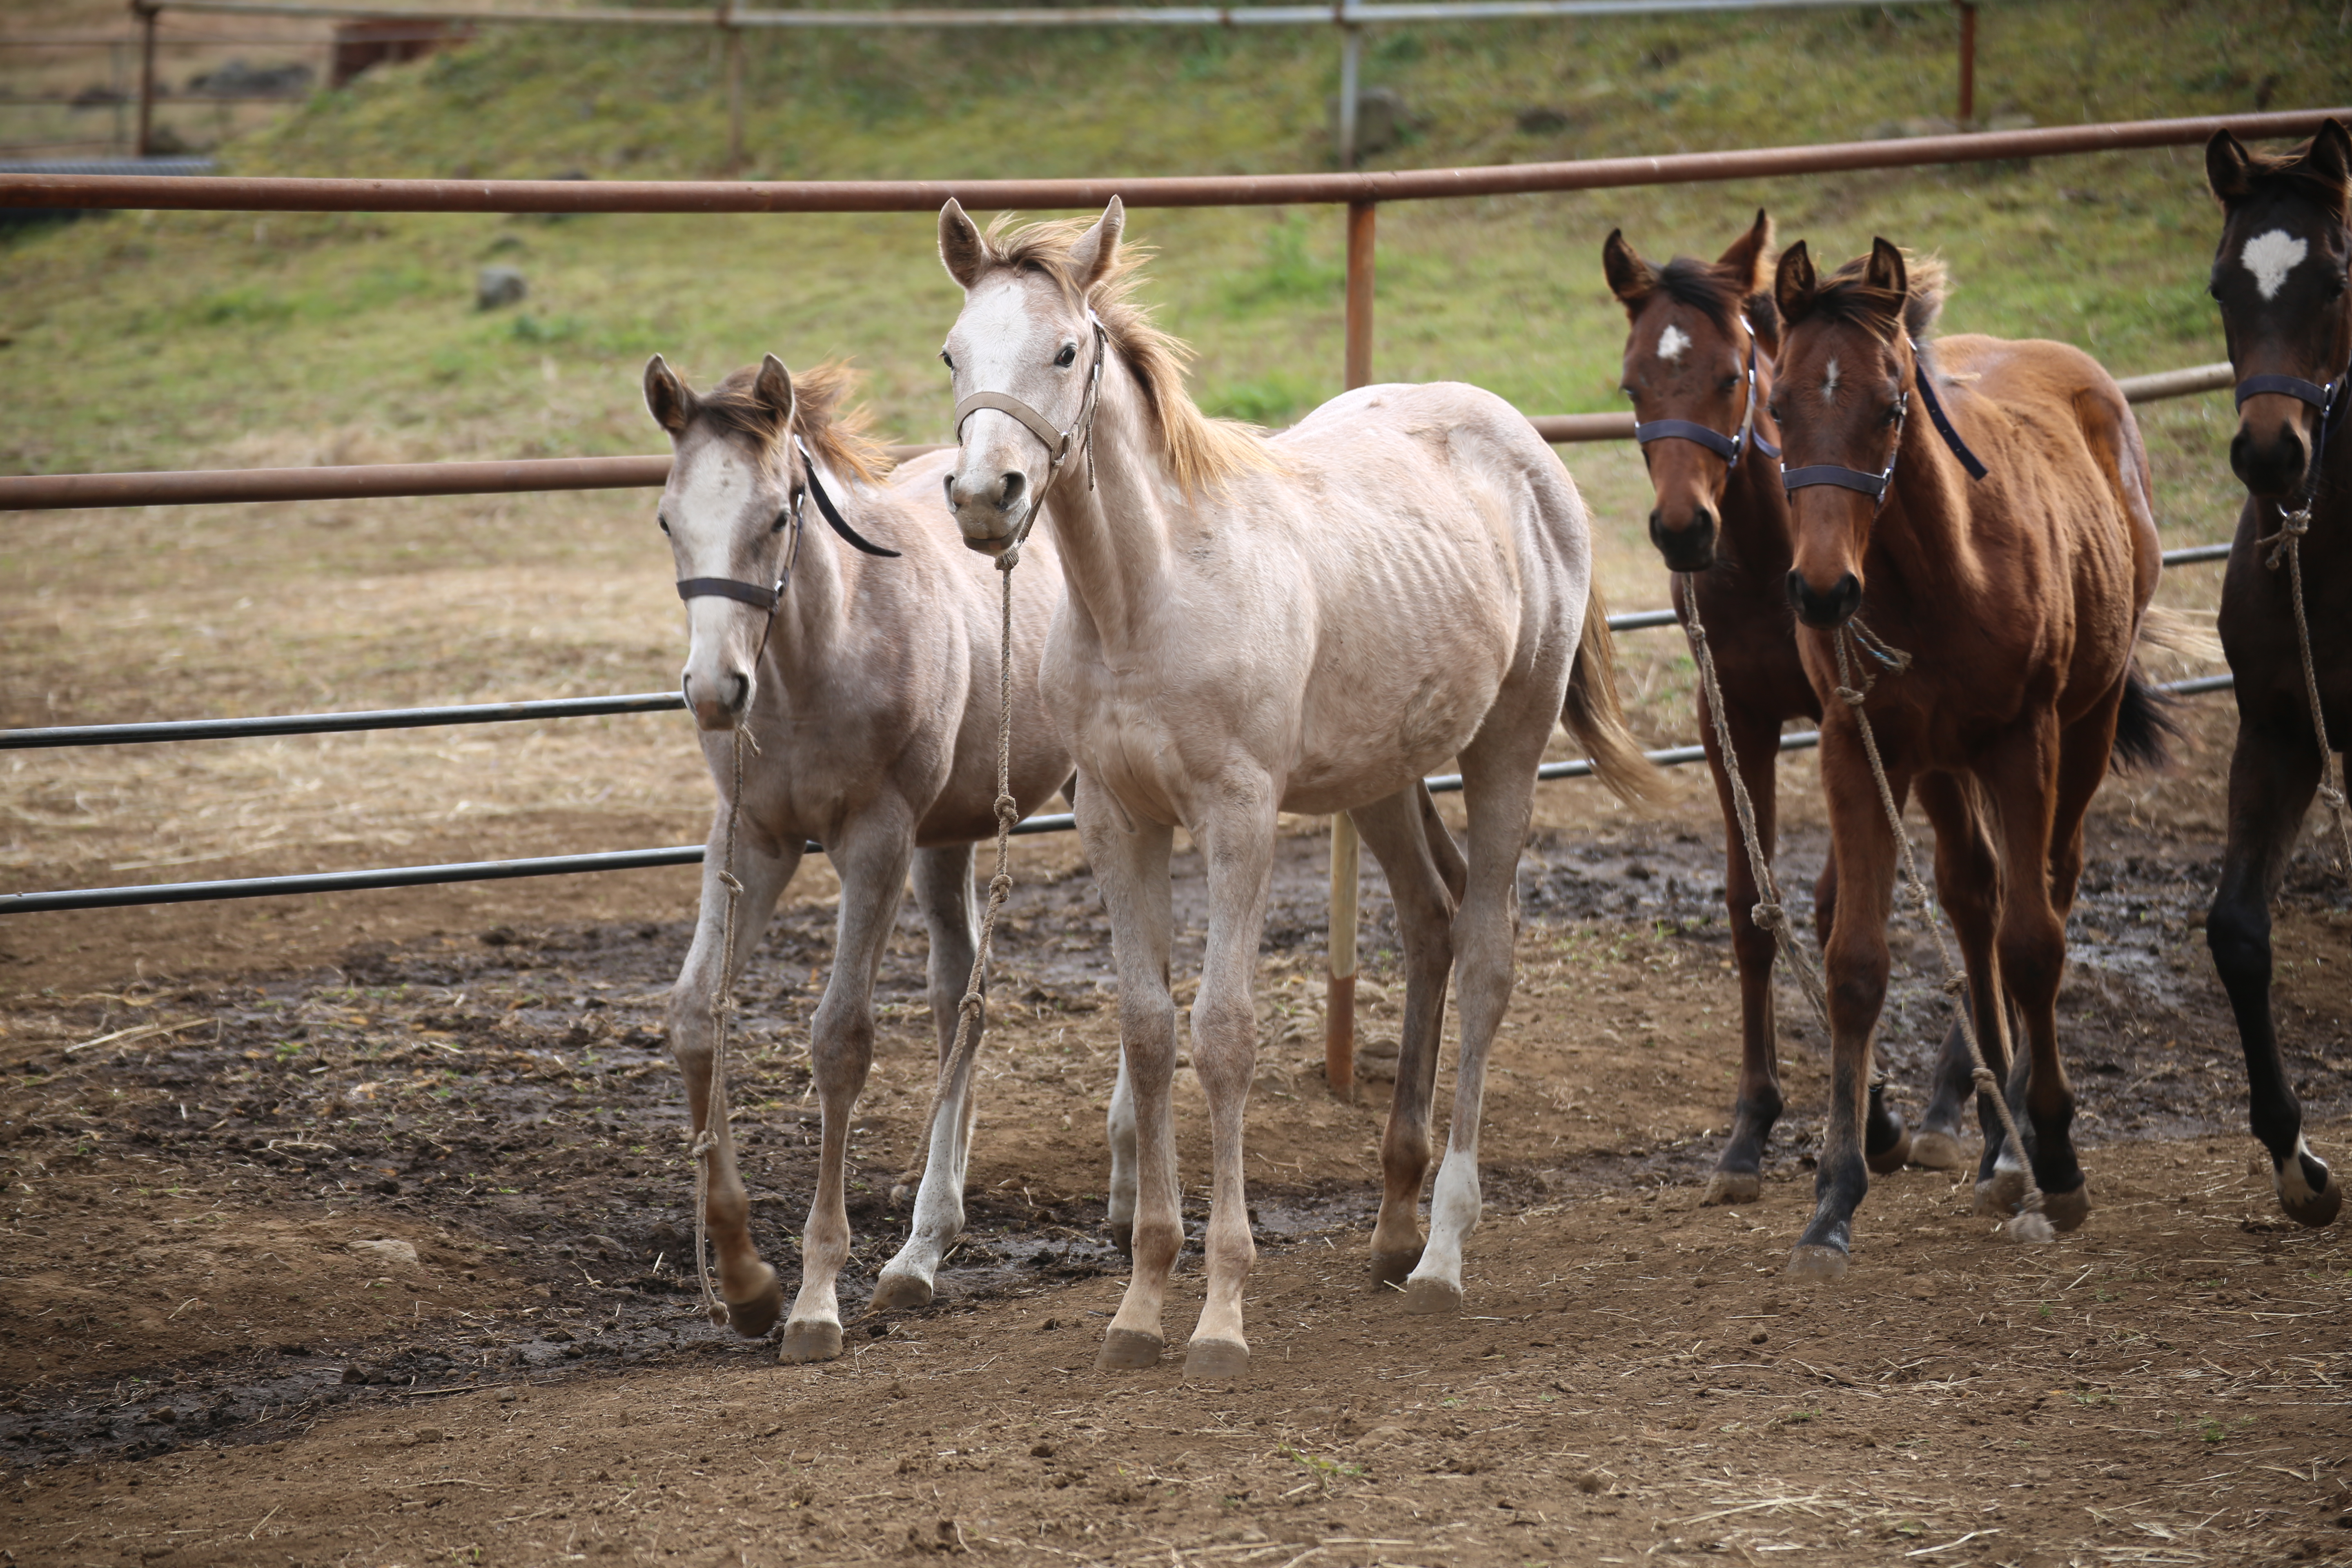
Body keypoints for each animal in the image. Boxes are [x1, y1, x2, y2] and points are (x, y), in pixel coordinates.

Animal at [1599, 215, 1985, 1213]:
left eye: (1735, 374)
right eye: (1633, 383)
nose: (1683, 530)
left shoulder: (1852, 722)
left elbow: (1831, 905)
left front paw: (1875, 1116)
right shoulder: (1731, 717)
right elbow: (1751, 906)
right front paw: (1748, 1131)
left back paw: (1945, 1107)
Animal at [1768, 240, 2164, 1278]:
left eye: (1889, 407)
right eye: (1776, 404)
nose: (1819, 590)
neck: (1940, 570)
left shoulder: (2022, 739)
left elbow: (2035, 944)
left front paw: (2057, 1155)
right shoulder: (1855, 747)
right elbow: (1857, 963)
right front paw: (1832, 1202)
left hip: (2083, 724)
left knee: (2046, 887)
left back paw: (2024, 1133)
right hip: (1942, 767)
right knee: (1972, 894)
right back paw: (1994, 1143)